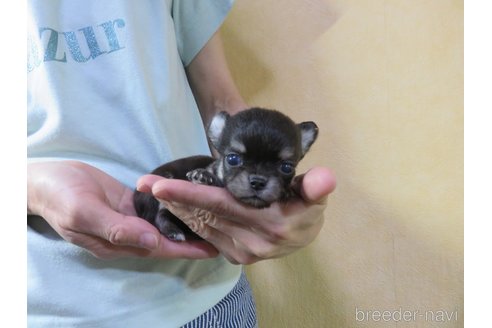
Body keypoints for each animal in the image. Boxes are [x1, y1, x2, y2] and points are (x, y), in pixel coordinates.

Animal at [134, 107, 320, 241]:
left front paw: (286, 192)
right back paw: (174, 232)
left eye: (287, 168)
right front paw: (204, 177)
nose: (258, 181)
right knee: (160, 215)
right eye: (232, 159)